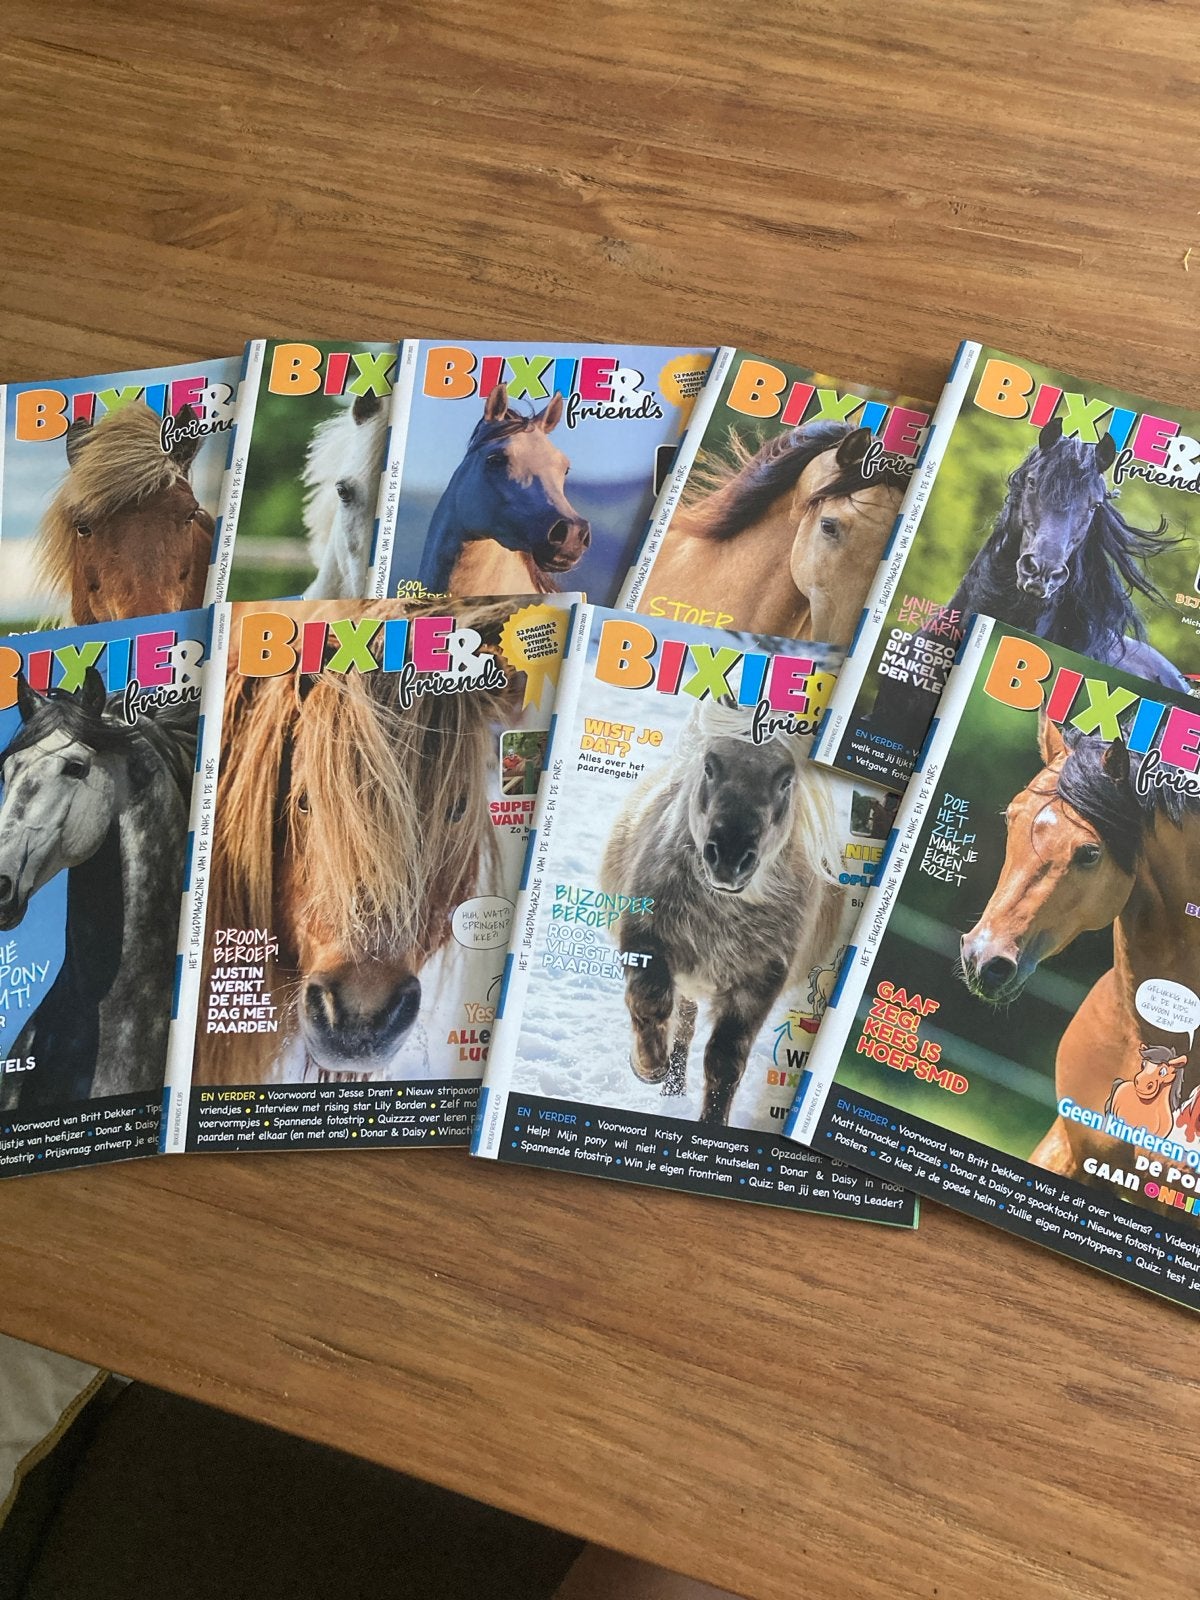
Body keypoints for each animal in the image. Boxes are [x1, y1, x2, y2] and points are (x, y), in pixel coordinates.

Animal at [600, 698, 850, 1126]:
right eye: (710, 766)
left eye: (785, 780)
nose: (730, 857)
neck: (720, 919)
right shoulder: (645, 935)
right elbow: (650, 1000)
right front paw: (648, 1067)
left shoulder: (760, 981)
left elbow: (725, 1061)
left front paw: (712, 1125)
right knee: (682, 1026)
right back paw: (668, 1083)